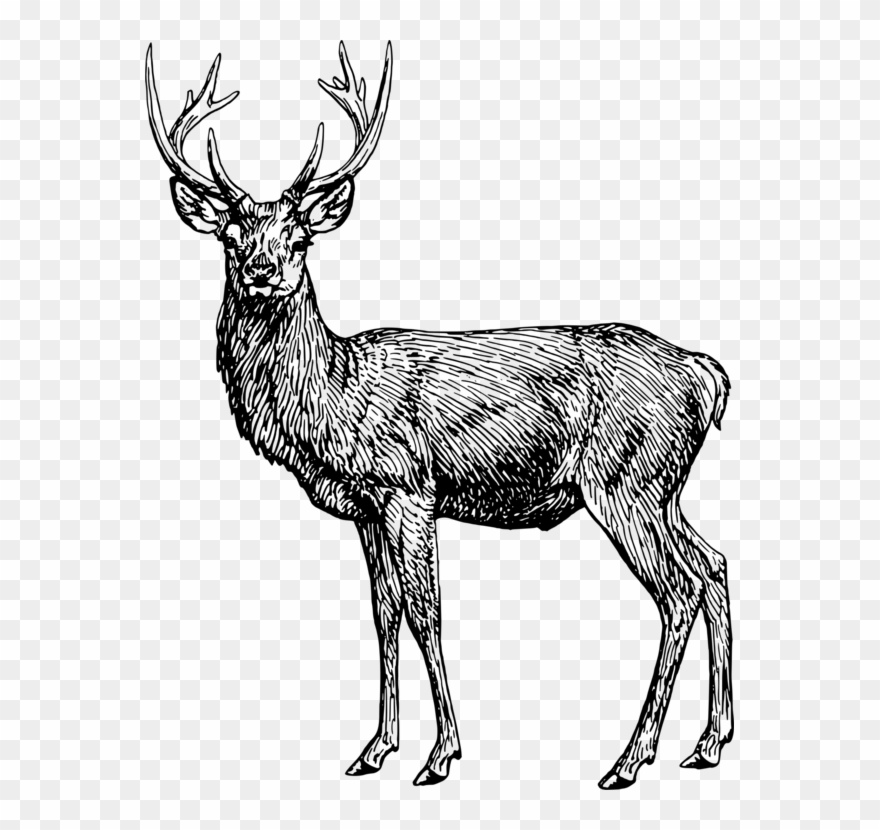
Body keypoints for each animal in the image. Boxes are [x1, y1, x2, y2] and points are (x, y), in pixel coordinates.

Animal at [145, 41, 734, 789]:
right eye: (229, 234)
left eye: (301, 237)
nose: (261, 271)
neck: (332, 397)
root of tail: (704, 374)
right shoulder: (365, 509)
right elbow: (383, 616)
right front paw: (374, 749)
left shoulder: (409, 489)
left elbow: (427, 614)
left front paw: (440, 755)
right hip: (664, 488)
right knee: (715, 565)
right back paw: (710, 741)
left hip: (624, 478)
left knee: (680, 590)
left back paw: (630, 759)